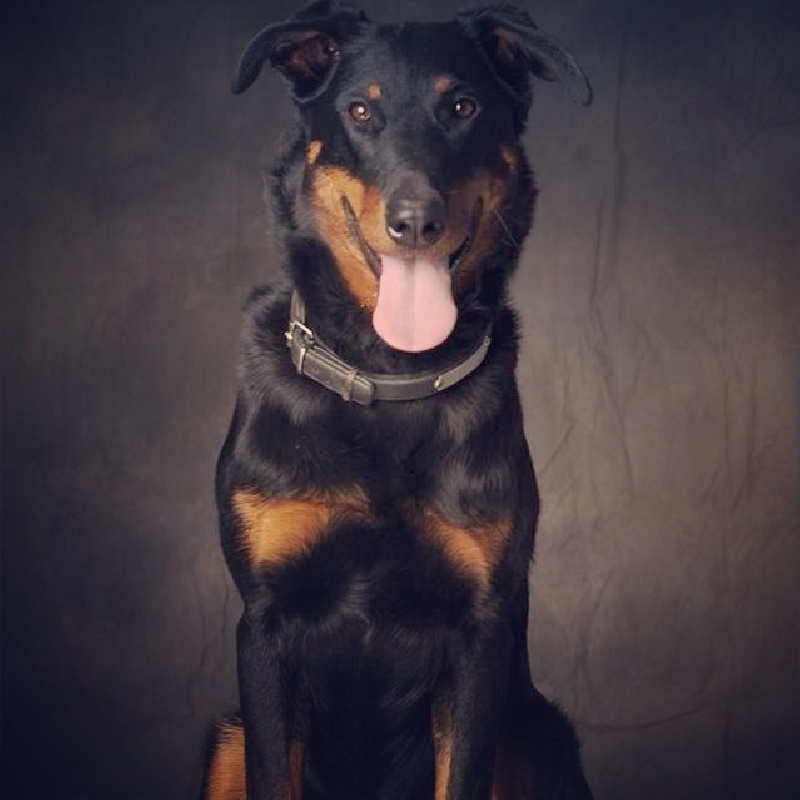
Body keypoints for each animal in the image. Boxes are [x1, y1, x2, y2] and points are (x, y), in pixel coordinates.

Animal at [204, 2, 593, 798]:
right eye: (360, 111)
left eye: (463, 108)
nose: (416, 221)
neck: (388, 374)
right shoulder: (265, 624)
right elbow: (271, 770)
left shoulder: (479, 635)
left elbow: (463, 772)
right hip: (223, 737)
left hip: (539, 734)